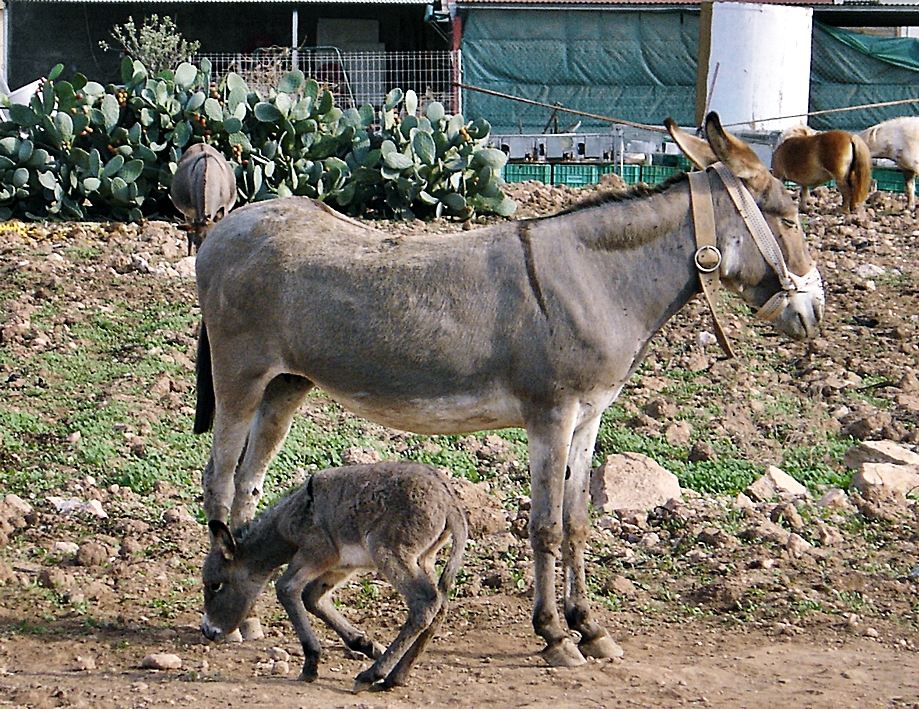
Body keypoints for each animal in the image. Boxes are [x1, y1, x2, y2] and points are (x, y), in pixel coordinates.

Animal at [198, 460, 464, 692]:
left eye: (215, 586)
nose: (208, 631)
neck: (287, 519)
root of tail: (449, 501)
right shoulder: (339, 566)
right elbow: (311, 597)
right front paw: (365, 645)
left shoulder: (317, 552)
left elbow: (286, 588)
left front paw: (311, 665)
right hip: (424, 558)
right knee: (440, 605)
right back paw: (395, 677)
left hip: (390, 552)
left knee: (425, 603)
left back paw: (371, 676)